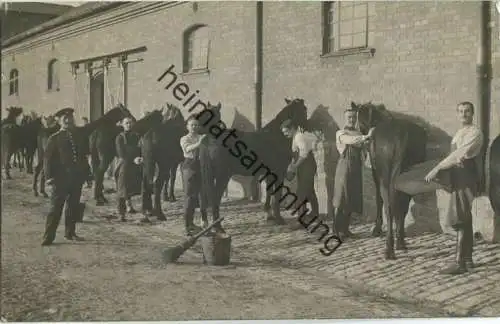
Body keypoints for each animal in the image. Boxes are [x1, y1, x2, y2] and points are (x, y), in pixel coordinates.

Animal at [195, 97, 308, 232]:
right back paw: (218, 227)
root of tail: (209, 139)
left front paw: (269, 216)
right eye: (304, 109)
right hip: (222, 175)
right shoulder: (279, 172)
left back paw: (205, 223)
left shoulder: (269, 173)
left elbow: (269, 192)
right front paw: (279, 219)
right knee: (215, 197)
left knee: (203, 196)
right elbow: (276, 196)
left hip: (206, 175)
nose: (307, 125)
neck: (276, 135)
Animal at [354, 102, 428, 260]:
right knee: (402, 206)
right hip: (405, 179)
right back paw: (400, 241)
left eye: (360, 119)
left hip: (386, 179)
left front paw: (376, 228)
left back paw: (390, 248)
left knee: (389, 206)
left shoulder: (377, 176)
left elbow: (379, 200)